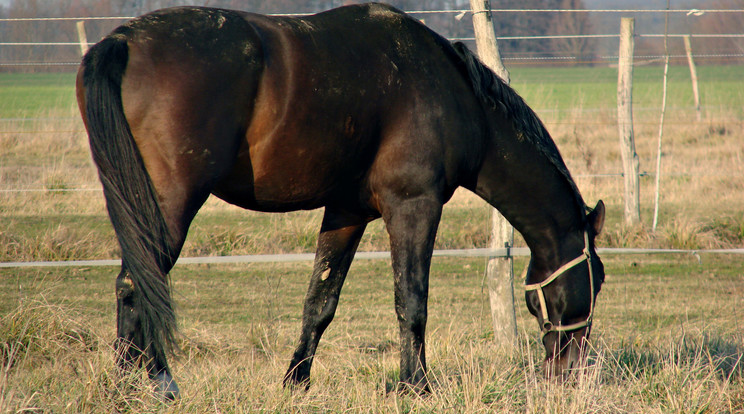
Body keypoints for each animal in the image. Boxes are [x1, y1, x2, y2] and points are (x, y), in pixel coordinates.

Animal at [75, 2, 604, 398]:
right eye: (597, 280)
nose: (570, 374)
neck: (455, 94)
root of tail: (123, 40)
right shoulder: (414, 206)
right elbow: (411, 299)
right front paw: (416, 386)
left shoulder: (346, 212)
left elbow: (320, 301)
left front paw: (296, 382)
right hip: (167, 204)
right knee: (138, 282)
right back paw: (154, 383)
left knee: (133, 283)